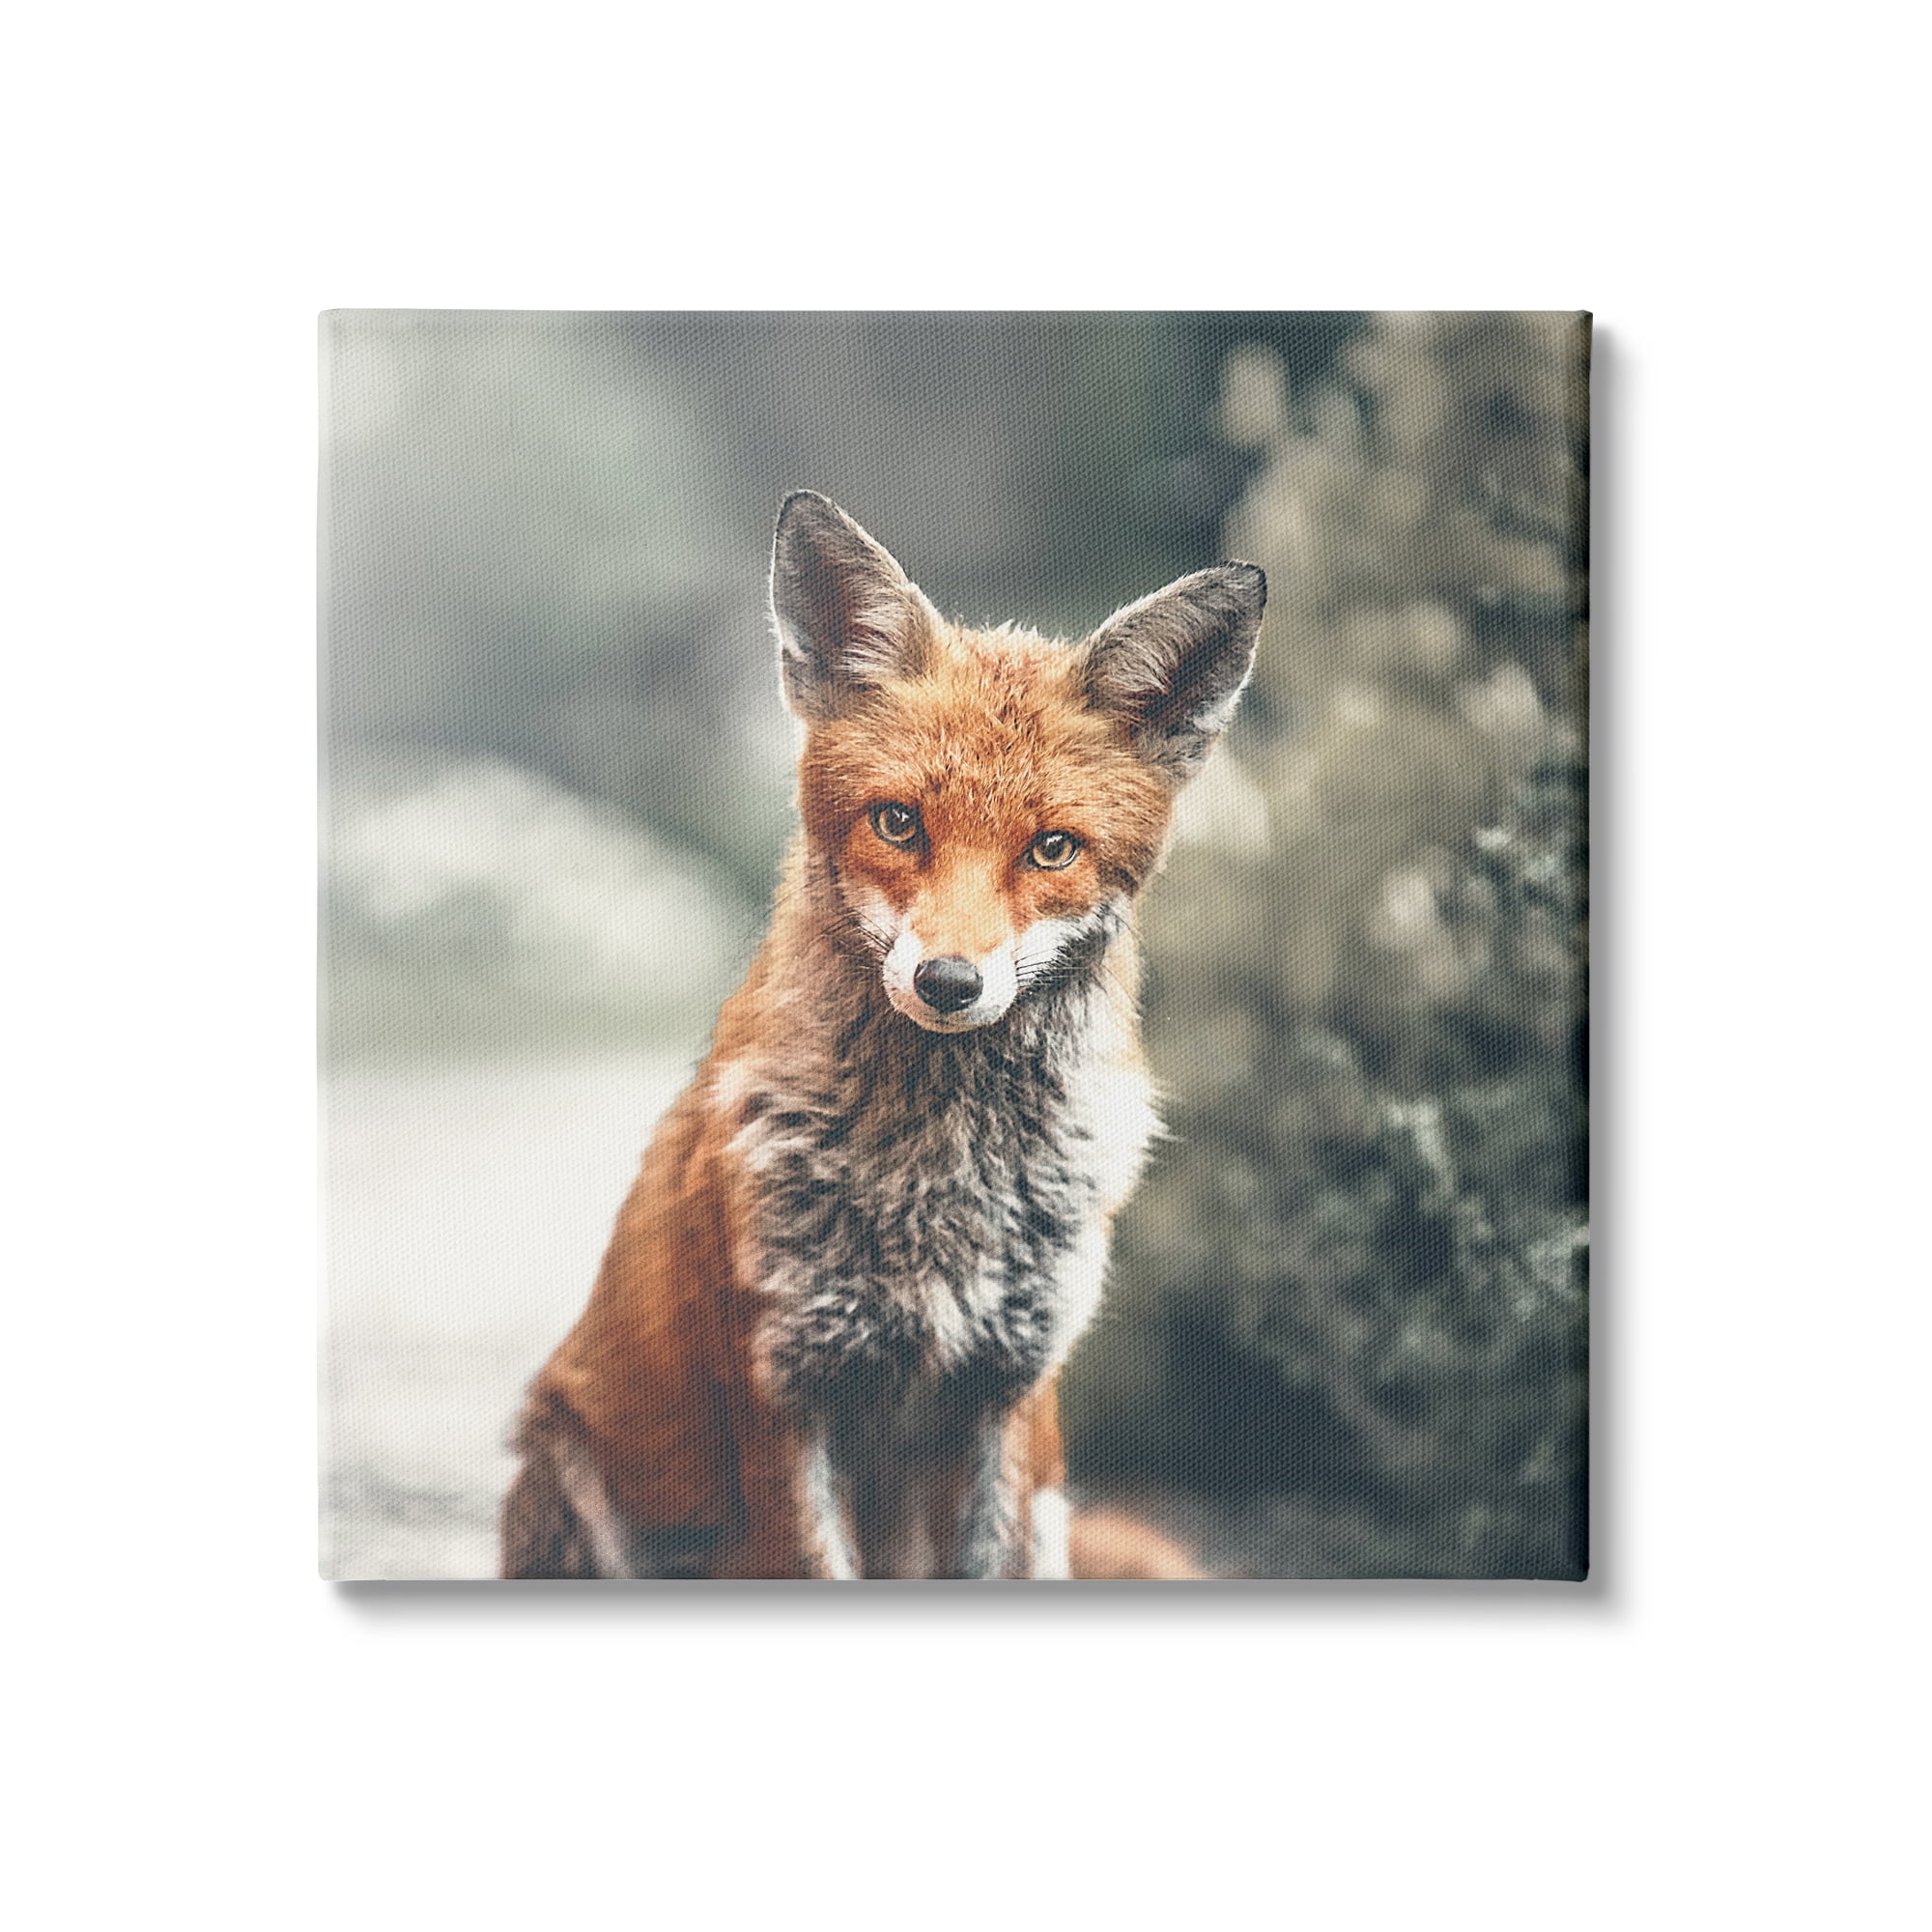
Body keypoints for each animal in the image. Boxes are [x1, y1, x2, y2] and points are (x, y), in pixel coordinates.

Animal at [500, 490, 1264, 1580]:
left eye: (1052, 848)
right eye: (898, 822)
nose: (948, 981)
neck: (941, 1178)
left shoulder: (1013, 1386)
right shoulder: (783, 1388)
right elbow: (812, 1557)